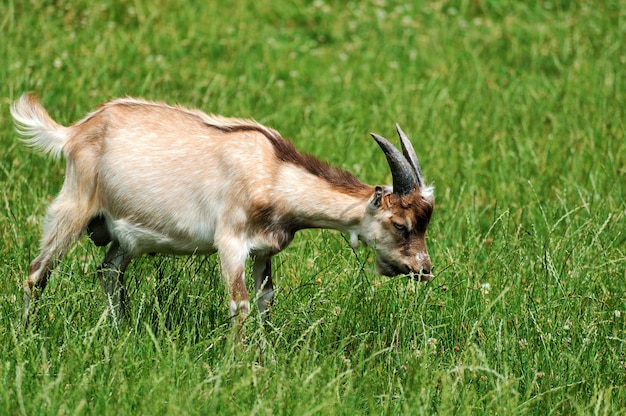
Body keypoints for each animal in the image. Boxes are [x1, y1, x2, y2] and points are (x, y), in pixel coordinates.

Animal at [11, 92, 434, 330]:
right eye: (400, 223)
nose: (424, 269)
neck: (273, 170)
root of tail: (75, 132)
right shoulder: (230, 242)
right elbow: (240, 304)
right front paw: (242, 368)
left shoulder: (264, 250)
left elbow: (265, 302)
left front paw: (266, 361)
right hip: (74, 205)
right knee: (36, 274)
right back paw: (26, 335)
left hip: (126, 236)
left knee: (109, 272)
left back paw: (120, 333)